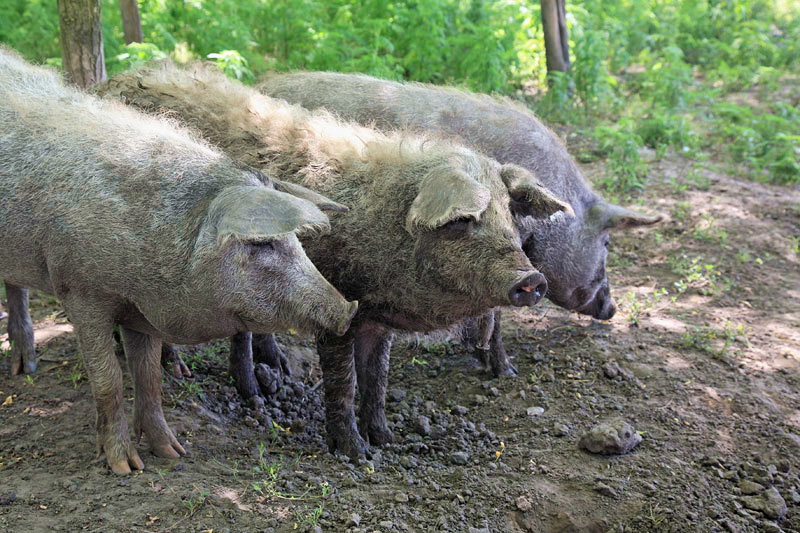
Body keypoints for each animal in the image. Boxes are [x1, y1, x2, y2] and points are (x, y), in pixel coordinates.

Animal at [0, 48, 356, 474]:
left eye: (296, 243)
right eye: (263, 244)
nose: (348, 310)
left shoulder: (140, 310)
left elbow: (148, 376)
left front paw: (172, 453)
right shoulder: (80, 291)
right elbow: (108, 379)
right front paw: (125, 468)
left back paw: (25, 366)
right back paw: (24, 370)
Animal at [98, 62, 568, 460]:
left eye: (509, 215)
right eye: (464, 219)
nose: (531, 278)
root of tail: (114, 79)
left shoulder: (376, 320)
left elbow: (377, 379)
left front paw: (386, 439)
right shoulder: (337, 305)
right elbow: (344, 381)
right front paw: (355, 454)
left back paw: (265, 383)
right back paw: (188, 374)